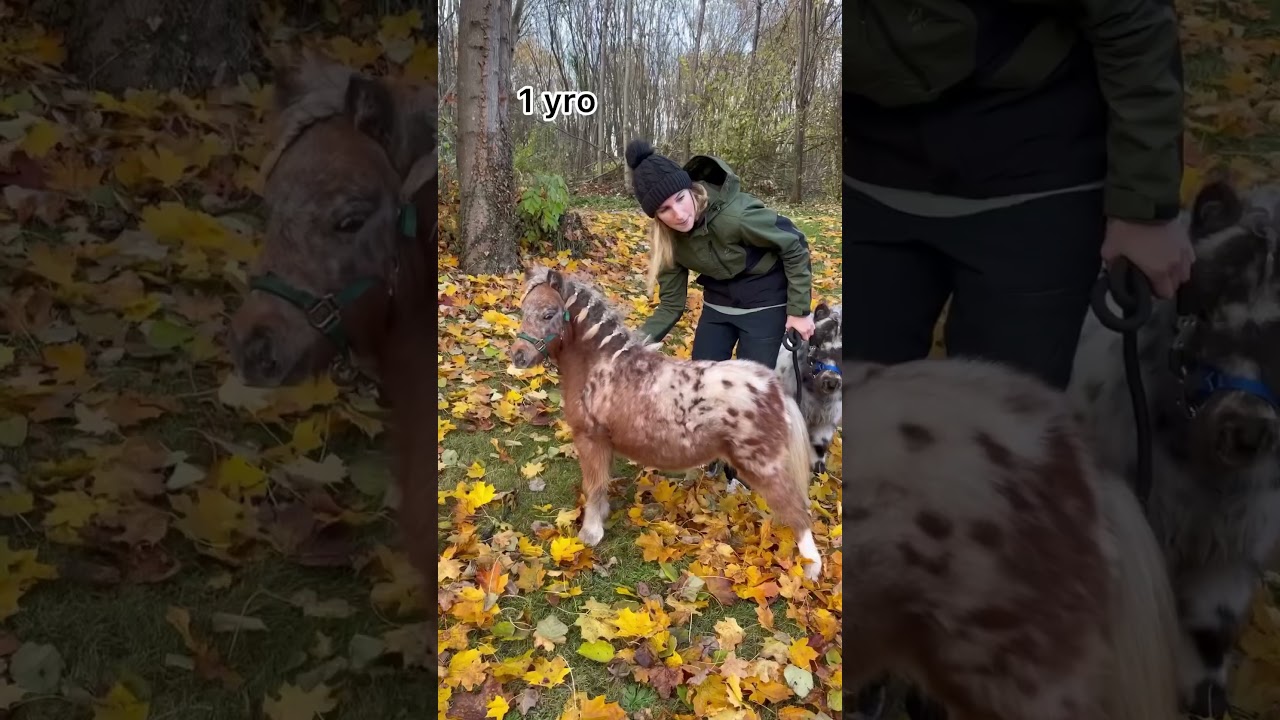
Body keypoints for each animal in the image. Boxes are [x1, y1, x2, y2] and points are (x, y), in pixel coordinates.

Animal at [509, 266, 825, 581]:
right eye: (523, 309)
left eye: (548, 314)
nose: (518, 356)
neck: (602, 366)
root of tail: (775, 389)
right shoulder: (604, 443)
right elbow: (602, 483)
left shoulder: (590, 439)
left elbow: (594, 485)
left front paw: (591, 533)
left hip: (765, 467)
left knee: (799, 513)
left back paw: (811, 568)